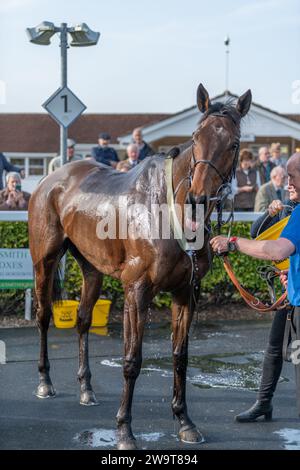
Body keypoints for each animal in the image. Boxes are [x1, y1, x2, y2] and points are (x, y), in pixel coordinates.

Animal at [29, 83, 252, 448]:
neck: (168, 208)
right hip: (43, 259)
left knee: (82, 319)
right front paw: (124, 429)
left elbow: (180, 356)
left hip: (91, 268)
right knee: (44, 315)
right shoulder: (137, 290)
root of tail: (52, 179)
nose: (198, 197)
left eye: (233, 143)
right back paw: (45, 382)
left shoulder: (186, 292)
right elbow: (132, 360)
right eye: (196, 136)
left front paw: (184, 421)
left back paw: (86, 388)